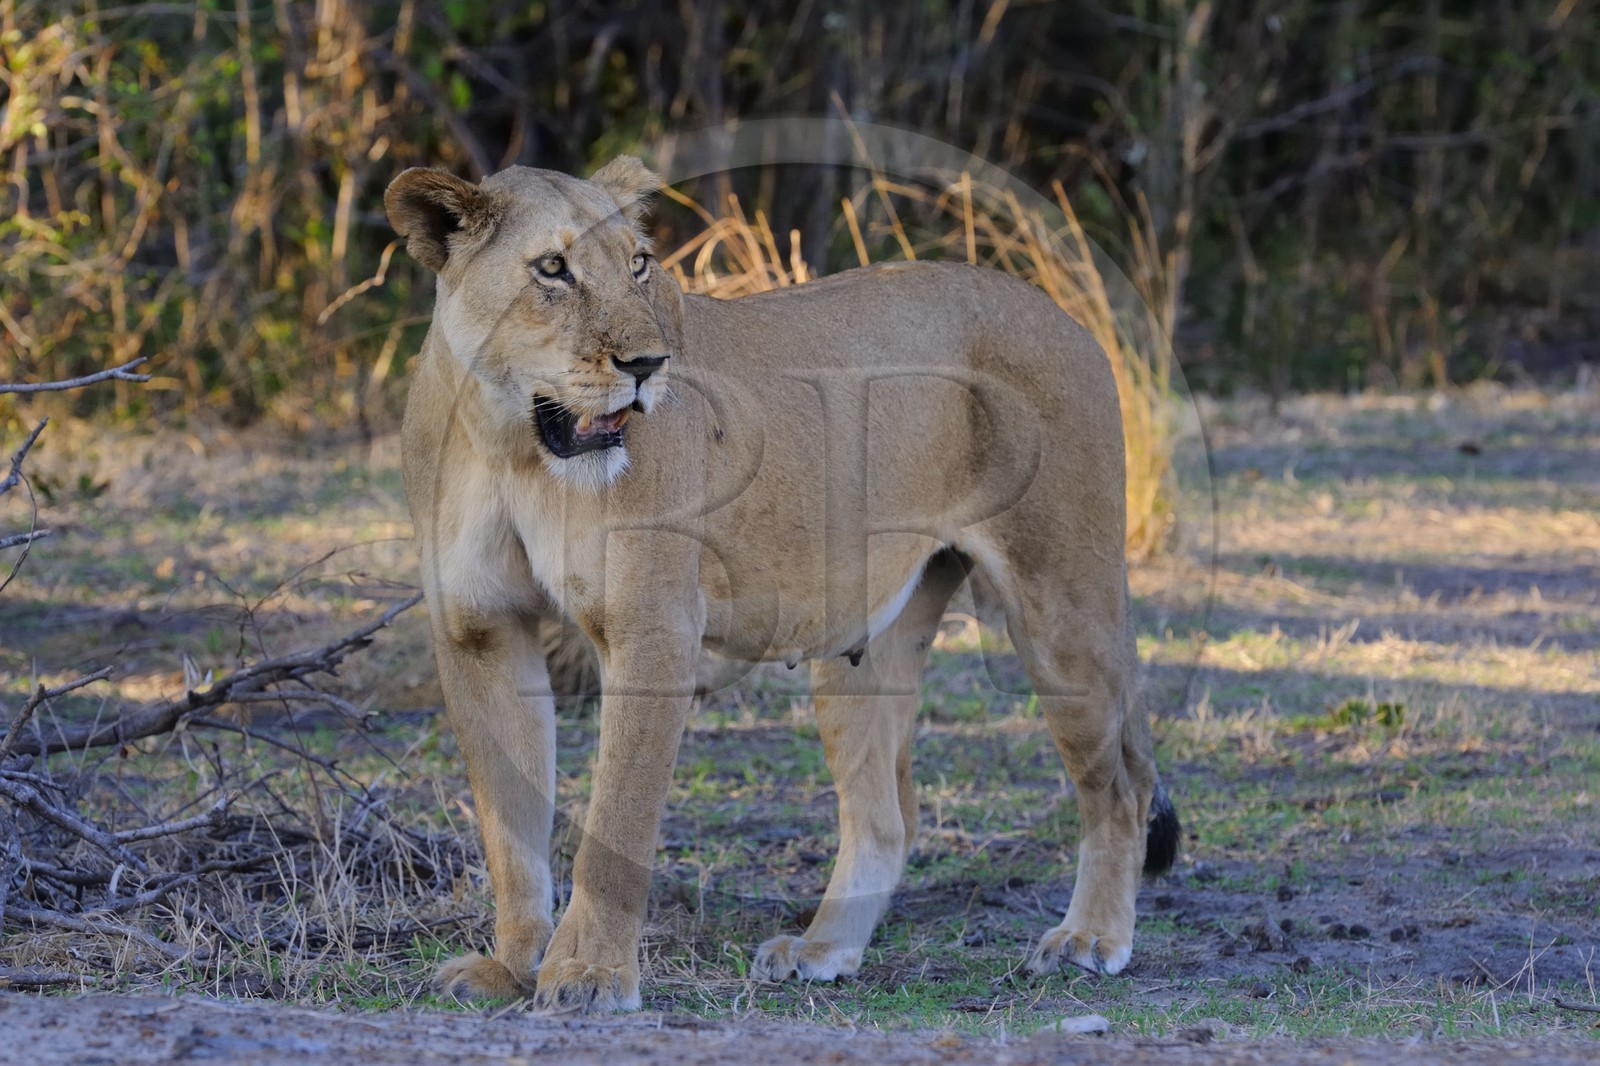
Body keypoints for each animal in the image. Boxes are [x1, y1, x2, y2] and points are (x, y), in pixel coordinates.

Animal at [383, 157, 1179, 1012]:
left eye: (639, 264)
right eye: (553, 269)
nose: (647, 367)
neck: (510, 445)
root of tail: (1066, 317)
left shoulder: (653, 629)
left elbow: (616, 821)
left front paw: (590, 976)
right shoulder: (480, 632)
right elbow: (509, 826)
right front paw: (508, 968)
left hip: (1062, 604)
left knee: (1121, 786)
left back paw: (1089, 939)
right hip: (863, 640)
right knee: (888, 817)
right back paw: (823, 950)